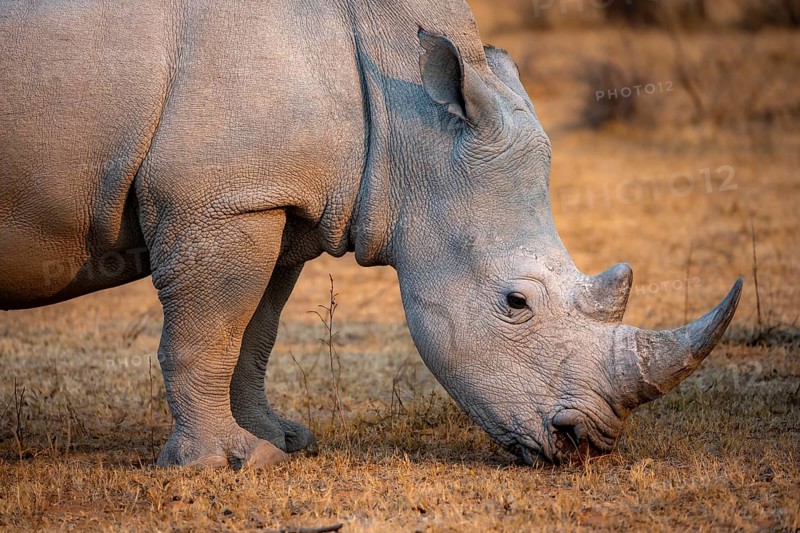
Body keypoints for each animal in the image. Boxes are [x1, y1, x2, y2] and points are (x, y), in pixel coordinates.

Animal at [0, 0, 741, 468]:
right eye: (515, 303)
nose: (587, 442)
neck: (408, 115)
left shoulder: (273, 198)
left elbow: (254, 329)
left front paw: (281, 441)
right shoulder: (218, 202)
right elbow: (205, 333)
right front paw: (223, 462)